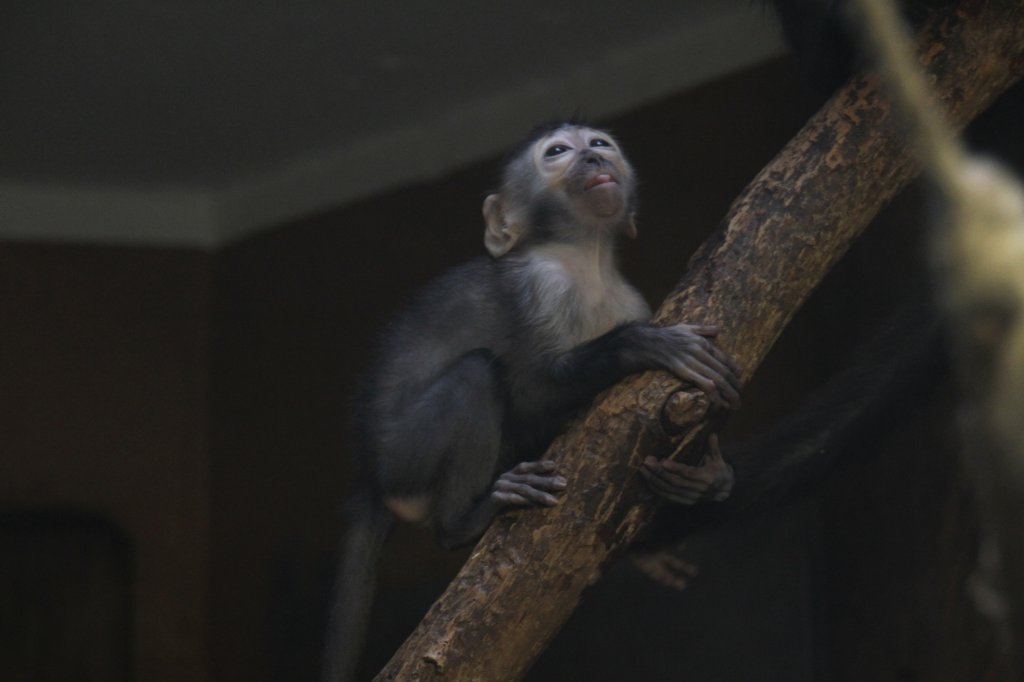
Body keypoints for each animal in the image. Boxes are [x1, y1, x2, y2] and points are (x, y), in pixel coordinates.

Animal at [323, 123, 741, 679]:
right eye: (558, 152)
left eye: (599, 143)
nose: (592, 158)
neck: (587, 263)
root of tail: (370, 477)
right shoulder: (540, 285)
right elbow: (529, 391)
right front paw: (643, 344)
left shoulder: (629, 300)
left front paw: (706, 477)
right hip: (404, 455)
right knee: (477, 375)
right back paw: (463, 522)